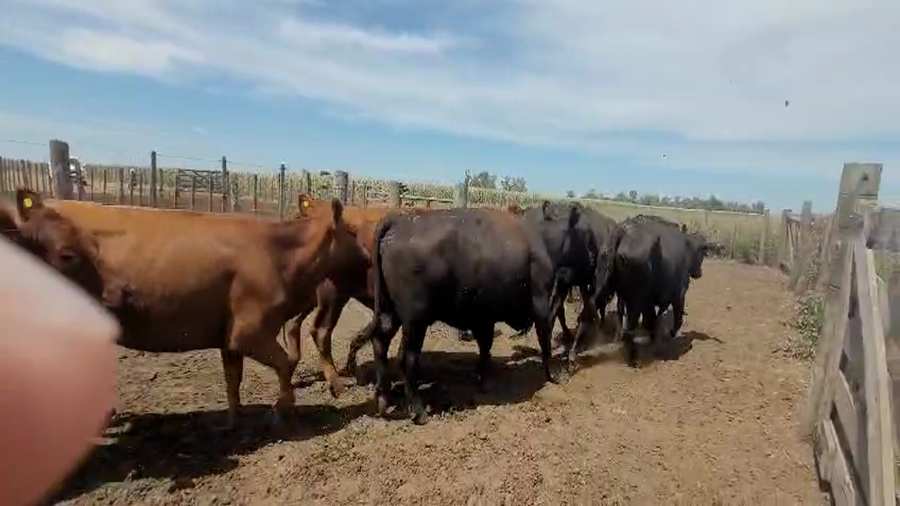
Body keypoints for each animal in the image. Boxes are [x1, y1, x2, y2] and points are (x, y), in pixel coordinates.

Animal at [44, 196, 370, 427]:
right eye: (351, 231)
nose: (368, 256)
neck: (281, 255)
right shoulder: (248, 332)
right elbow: (282, 362)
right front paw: (281, 408)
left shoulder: (229, 337)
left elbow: (233, 378)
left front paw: (235, 419)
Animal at [359, 205, 590, 425]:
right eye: (582, 237)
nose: (591, 259)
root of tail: (400, 222)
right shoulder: (540, 305)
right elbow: (545, 342)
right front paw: (553, 376)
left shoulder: (484, 318)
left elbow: (485, 347)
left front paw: (484, 379)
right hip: (416, 322)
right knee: (407, 358)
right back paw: (418, 412)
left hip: (391, 313)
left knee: (380, 343)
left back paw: (383, 400)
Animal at [604, 214, 709, 367]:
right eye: (702, 252)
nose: (698, 273)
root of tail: (624, 232)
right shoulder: (679, 295)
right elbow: (677, 319)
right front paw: (669, 336)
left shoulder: (652, 301)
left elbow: (653, 319)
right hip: (636, 300)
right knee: (631, 325)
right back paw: (633, 359)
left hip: (623, 296)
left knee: (621, 313)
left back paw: (620, 338)